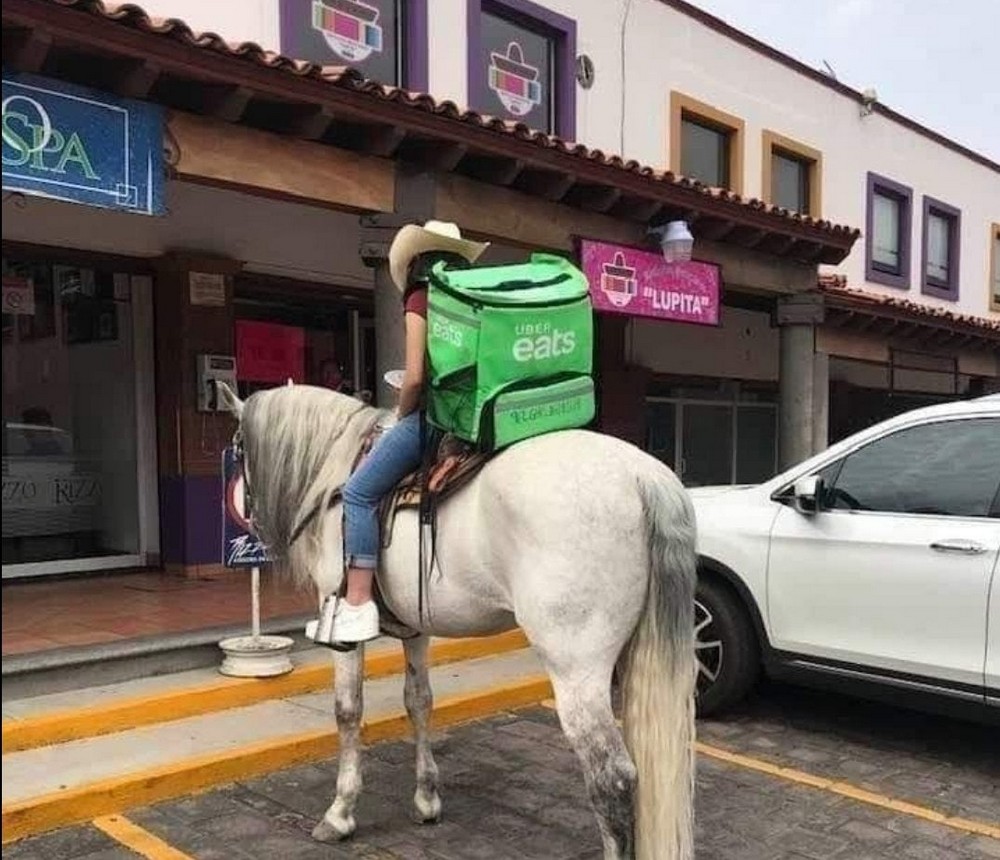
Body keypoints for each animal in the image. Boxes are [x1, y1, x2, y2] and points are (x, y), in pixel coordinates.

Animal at [218, 382, 697, 860]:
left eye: (239, 450)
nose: (250, 519)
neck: (335, 474)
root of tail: (642, 477)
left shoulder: (339, 622)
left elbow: (348, 710)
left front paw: (340, 813)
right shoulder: (416, 627)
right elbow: (419, 701)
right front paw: (427, 799)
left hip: (576, 669)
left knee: (612, 777)